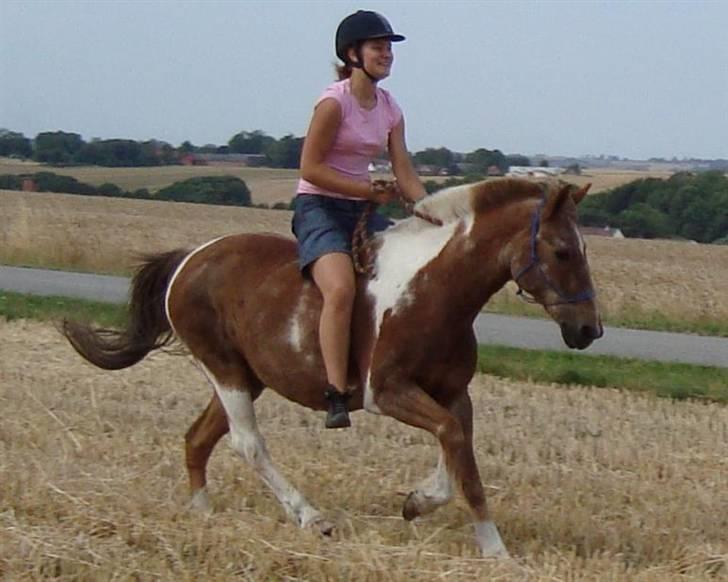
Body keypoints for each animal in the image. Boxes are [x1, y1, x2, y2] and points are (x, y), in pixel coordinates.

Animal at [62, 179, 604, 560]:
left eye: (582, 248)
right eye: (561, 250)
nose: (589, 329)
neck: (436, 290)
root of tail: (188, 260)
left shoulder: (453, 393)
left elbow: (459, 453)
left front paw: (421, 504)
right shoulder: (387, 393)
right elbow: (456, 448)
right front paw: (494, 549)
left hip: (245, 377)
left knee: (199, 439)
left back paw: (202, 514)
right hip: (224, 369)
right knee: (246, 443)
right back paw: (310, 517)